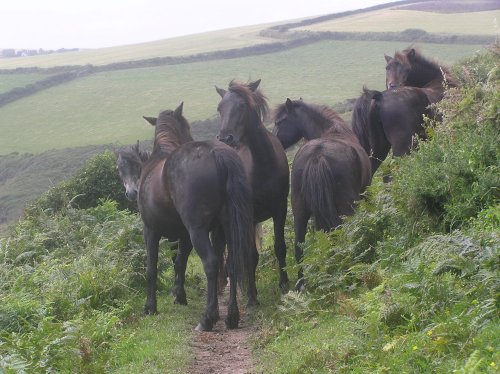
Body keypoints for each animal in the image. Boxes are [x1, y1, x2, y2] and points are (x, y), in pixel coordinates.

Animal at [214, 80, 292, 294]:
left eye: (242, 106)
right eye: (220, 108)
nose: (226, 138)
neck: (264, 164)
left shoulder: (280, 209)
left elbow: (280, 246)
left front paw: (284, 284)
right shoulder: (248, 216)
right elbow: (251, 256)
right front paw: (252, 294)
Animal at [274, 98, 372, 290]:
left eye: (279, 122)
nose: (274, 141)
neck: (334, 130)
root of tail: (317, 155)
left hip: (300, 210)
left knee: (299, 246)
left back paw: (302, 284)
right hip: (348, 208)